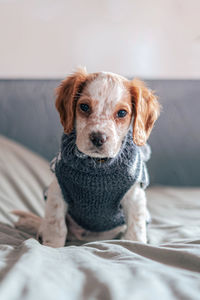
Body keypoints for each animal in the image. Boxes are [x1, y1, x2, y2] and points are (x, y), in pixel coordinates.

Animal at [13, 69, 160, 247]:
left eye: (122, 113)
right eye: (84, 107)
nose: (98, 138)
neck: (98, 165)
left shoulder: (134, 196)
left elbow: (135, 231)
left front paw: (135, 245)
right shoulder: (58, 191)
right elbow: (56, 227)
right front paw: (51, 248)